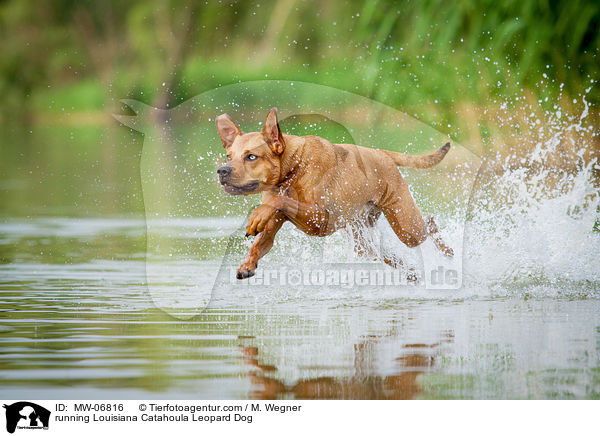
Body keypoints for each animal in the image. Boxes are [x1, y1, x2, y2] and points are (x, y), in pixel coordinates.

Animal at [217, 109, 454, 280]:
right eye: (228, 156)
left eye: (251, 157)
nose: (222, 171)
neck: (292, 168)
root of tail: (382, 153)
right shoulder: (273, 228)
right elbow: (259, 243)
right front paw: (247, 263)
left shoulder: (319, 219)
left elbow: (280, 200)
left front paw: (257, 215)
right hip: (362, 239)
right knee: (384, 253)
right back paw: (410, 271)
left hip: (406, 227)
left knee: (429, 222)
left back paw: (447, 250)